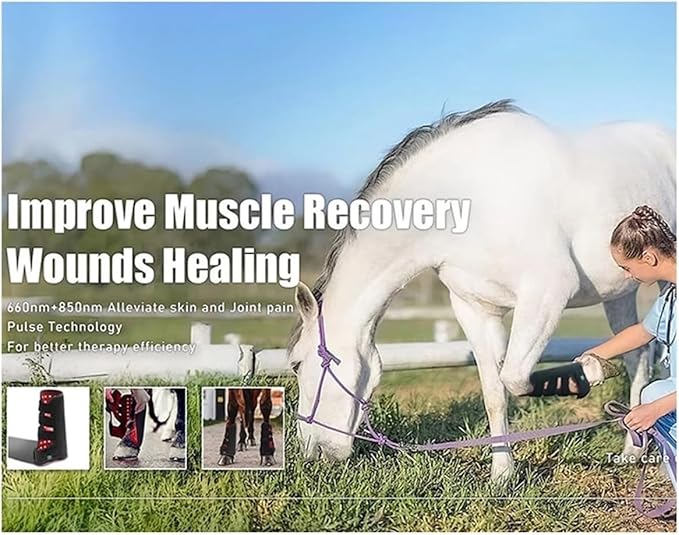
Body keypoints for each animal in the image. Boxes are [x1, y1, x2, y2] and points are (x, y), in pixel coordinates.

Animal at [287, 100, 676, 482]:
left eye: (296, 364)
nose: (312, 452)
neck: (472, 197)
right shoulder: (475, 309)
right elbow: (495, 392)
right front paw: (502, 475)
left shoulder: (547, 291)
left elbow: (515, 378)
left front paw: (591, 372)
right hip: (619, 293)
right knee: (638, 356)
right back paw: (633, 449)